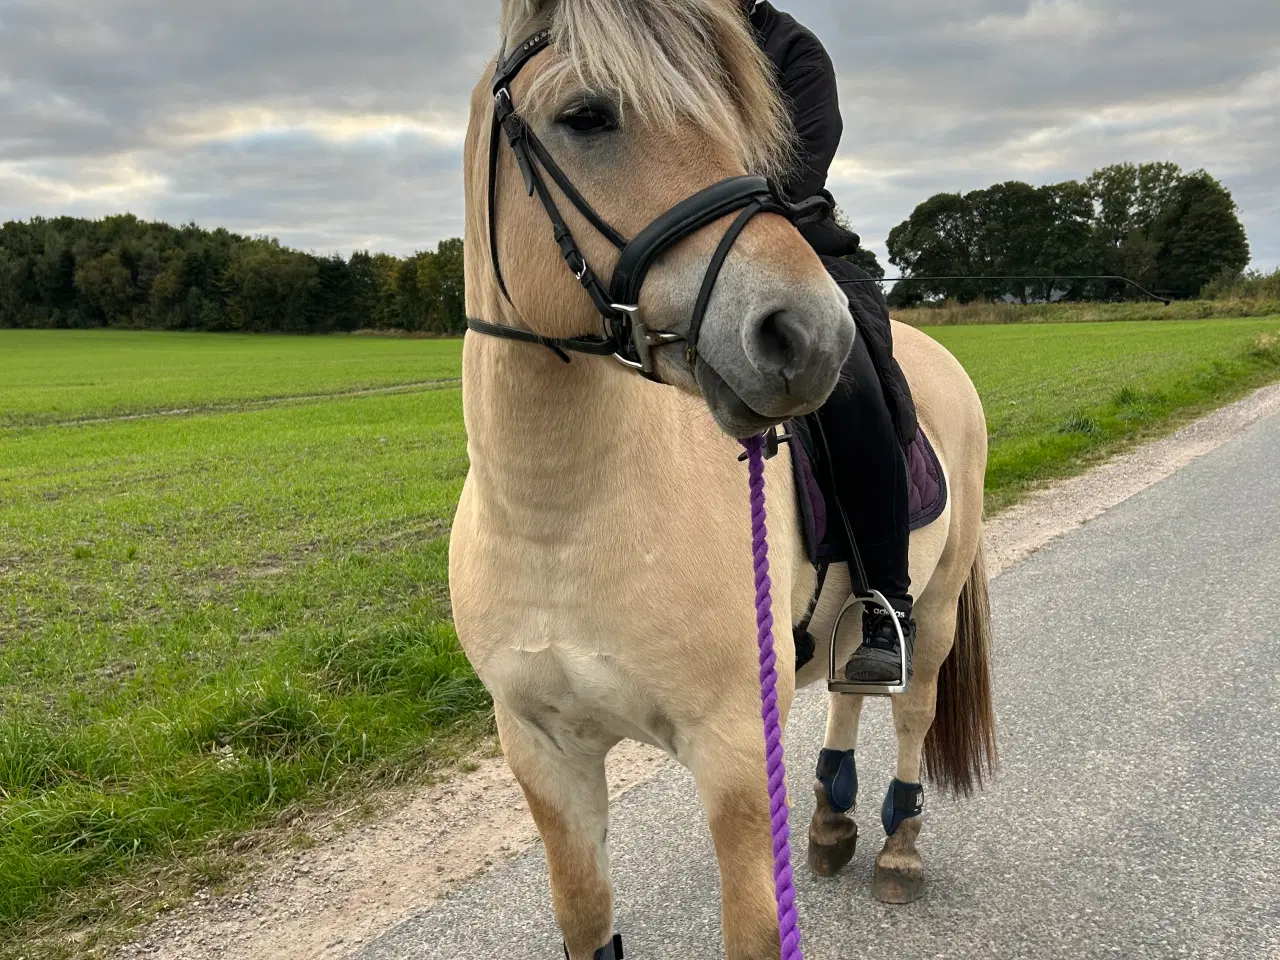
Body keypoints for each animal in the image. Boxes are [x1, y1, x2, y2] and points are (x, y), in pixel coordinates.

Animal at [450, 3, 998, 957]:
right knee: (852, 686)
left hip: (930, 611)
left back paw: (897, 843)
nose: (808, 334)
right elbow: (587, 920)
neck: (560, 518)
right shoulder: (544, 754)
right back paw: (830, 818)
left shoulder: (736, 753)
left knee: (910, 706)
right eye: (587, 117)